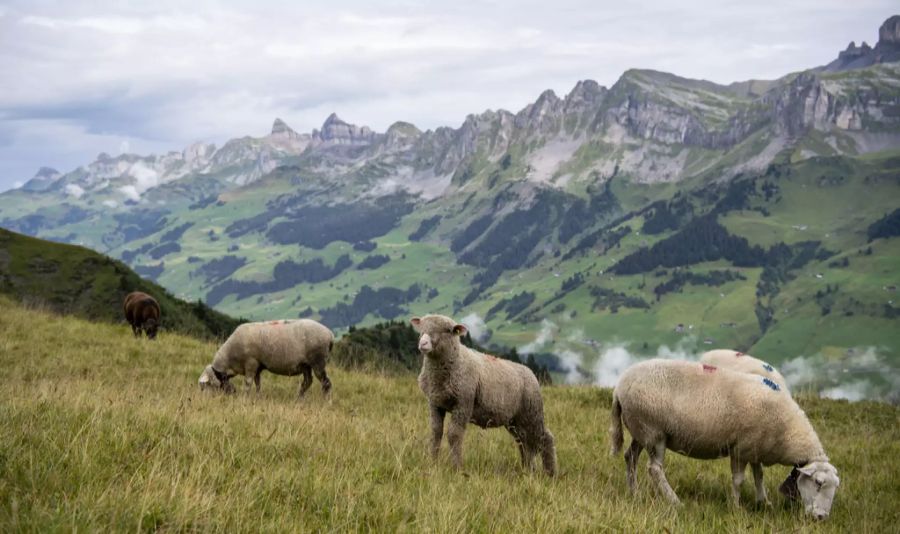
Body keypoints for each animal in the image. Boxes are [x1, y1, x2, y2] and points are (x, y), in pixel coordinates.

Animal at [198, 320, 334, 400]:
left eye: (207, 386)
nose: (206, 399)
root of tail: (330, 334)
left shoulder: (251, 362)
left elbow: (248, 382)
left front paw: (244, 398)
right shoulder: (258, 366)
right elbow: (258, 383)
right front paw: (258, 397)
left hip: (318, 361)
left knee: (326, 383)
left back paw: (326, 401)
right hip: (306, 364)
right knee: (307, 381)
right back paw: (299, 398)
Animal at [414, 314, 556, 478]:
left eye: (446, 330)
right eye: (421, 328)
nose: (423, 343)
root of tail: (531, 373)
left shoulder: (463, 403)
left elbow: (454, 434)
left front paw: (456, 468)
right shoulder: (435, 403)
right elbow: (436, 432)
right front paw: (432, 463)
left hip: (532, 412)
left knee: (545, 438)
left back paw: (550, 473)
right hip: (515, 420)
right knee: (524, 442)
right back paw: (528, 469)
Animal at [608, 358, 840, 520]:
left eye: (835, 487)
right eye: (818, 483)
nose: (821, 517)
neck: (787, 429)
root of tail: (619, 387)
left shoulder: (755, 448)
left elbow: (759, 476)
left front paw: (763, 502)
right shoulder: (741, 448)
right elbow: (739, 480)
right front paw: (735, 507)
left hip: (640, 430)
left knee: (630, 457)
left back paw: (634, 492)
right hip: (654, 431)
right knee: (654, 469)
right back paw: (675, 501)